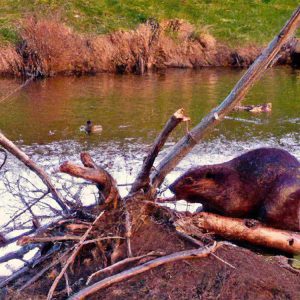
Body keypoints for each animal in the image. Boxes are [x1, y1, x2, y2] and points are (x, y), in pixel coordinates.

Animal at [170, 149, 298, 231]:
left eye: (189, 180)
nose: (171, 187)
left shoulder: (234, 194)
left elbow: (229, 209)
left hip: (280, 195)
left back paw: (253, 221)